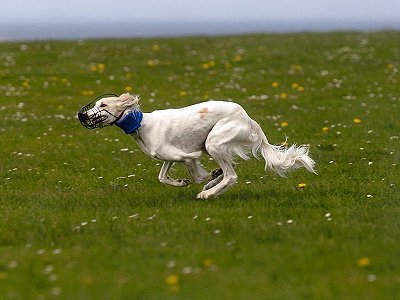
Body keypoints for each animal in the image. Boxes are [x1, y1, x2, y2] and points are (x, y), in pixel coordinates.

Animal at [78, 92, 316, 198]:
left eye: (104, 104)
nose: (82, 115)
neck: (143, 125)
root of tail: (248, 118)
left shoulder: (188, 155)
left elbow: (198, 175)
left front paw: (207, 179)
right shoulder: (169, 157)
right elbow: (162, 177)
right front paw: (182, 182)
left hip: (213, 143)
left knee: (232, 175)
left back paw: (208, 193)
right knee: (230, 170)